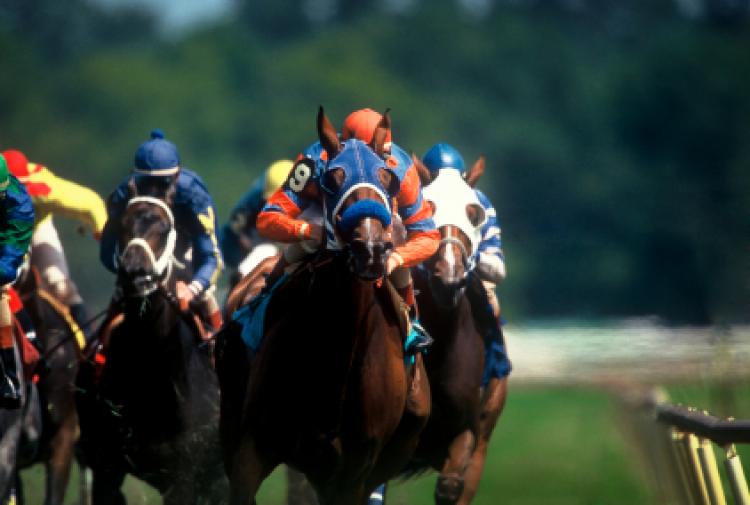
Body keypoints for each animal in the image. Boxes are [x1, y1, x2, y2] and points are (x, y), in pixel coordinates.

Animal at [216, 107, 428, 504]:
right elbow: (272, 212)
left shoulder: (352, 471)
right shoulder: (252, 447)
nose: (371, 249)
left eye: (387, 178)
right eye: (333, 177)